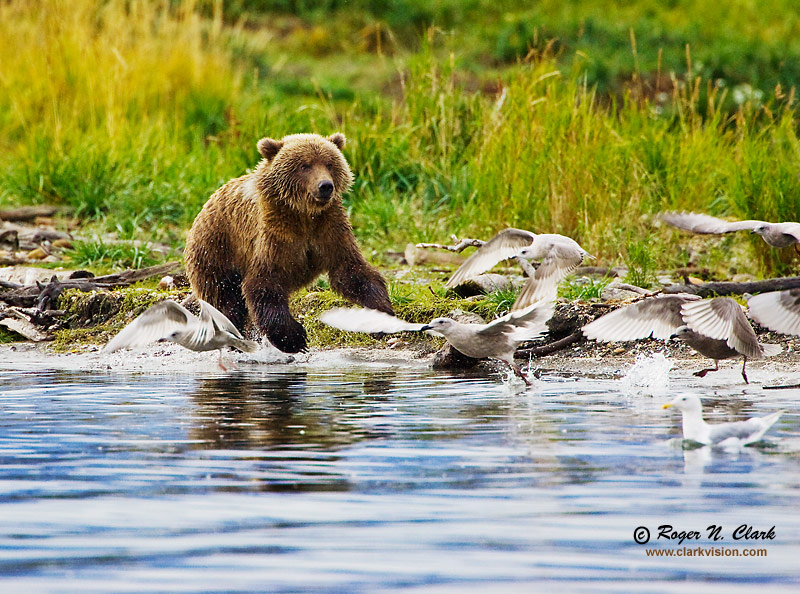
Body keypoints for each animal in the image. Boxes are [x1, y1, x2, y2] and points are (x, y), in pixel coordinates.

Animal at [182, 131, 394, 350]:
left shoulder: (330, 229)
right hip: (216, 252)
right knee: (225, 302)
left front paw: (382, 314)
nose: (325, 186)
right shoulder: (275, 235)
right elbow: (264, 283)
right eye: (305, 165)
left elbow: (352, 271)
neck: (304, 214)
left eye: (329, 163)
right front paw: (294, 338)